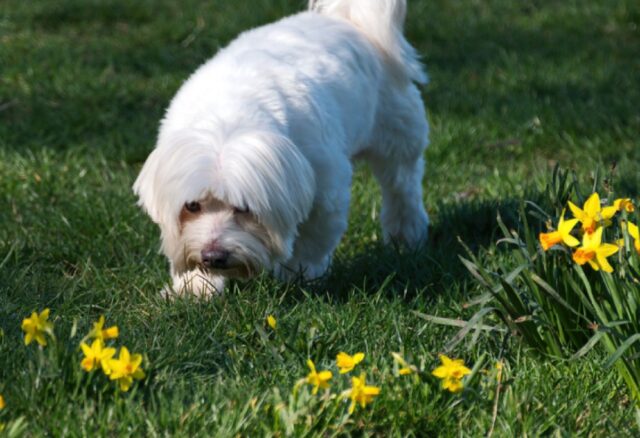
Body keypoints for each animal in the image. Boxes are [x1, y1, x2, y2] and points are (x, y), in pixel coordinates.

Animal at [138, 0, 432, 296]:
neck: (227, 118)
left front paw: (299, 277)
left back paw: (406, 237)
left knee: (402, 187)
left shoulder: (325, 190)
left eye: (244, 208)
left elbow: (312, 241)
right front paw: (195, 287)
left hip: (397, 135)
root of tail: (348, 20)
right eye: (192, 206)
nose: (214, 256)